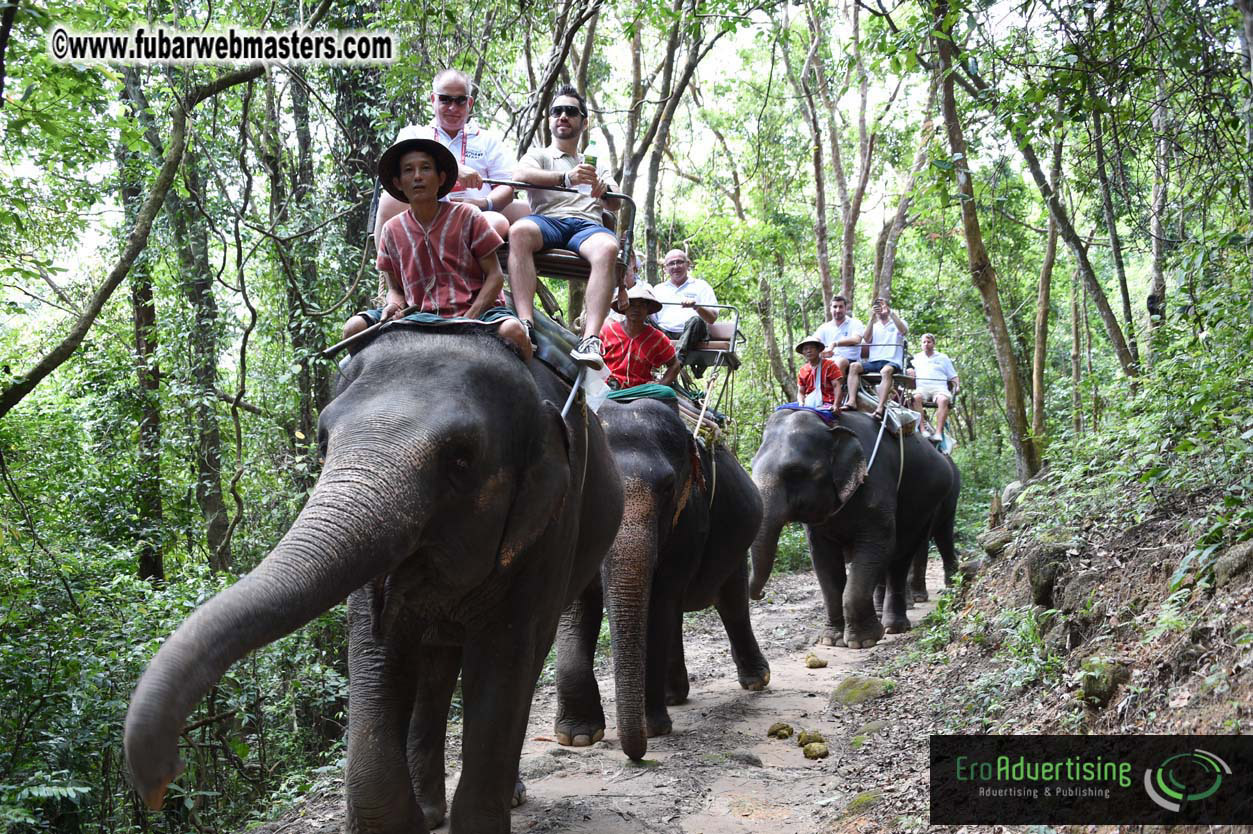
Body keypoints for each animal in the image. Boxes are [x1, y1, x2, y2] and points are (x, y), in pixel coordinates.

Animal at [124, 326, 624, 834]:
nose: (164, 779)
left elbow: (504, 659)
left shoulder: (552, 526)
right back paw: (431, 810)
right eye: (323, 443)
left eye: (461, 461)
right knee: (437, 662)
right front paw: (411, 817)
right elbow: (378, 646)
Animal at [553, 397, 769, 760]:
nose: (635, 754)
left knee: (730, 603)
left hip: (736, 542)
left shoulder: (689, 521)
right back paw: (674, 695)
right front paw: (578, 736)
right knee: (678, 613)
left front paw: (652, 728)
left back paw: (756, 680)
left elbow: (658, 604)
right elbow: (575, 609)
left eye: (668, 488)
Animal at [748, 408, 957, 649]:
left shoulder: (876, 484)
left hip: (929, 502)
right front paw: (831, 639)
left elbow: (877, 546)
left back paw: (895, 626)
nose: (762, 594)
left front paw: (863, 641)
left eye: (796, 471)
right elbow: (823, 561)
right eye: (751, 465)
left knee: (906, 553)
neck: (829, 425)